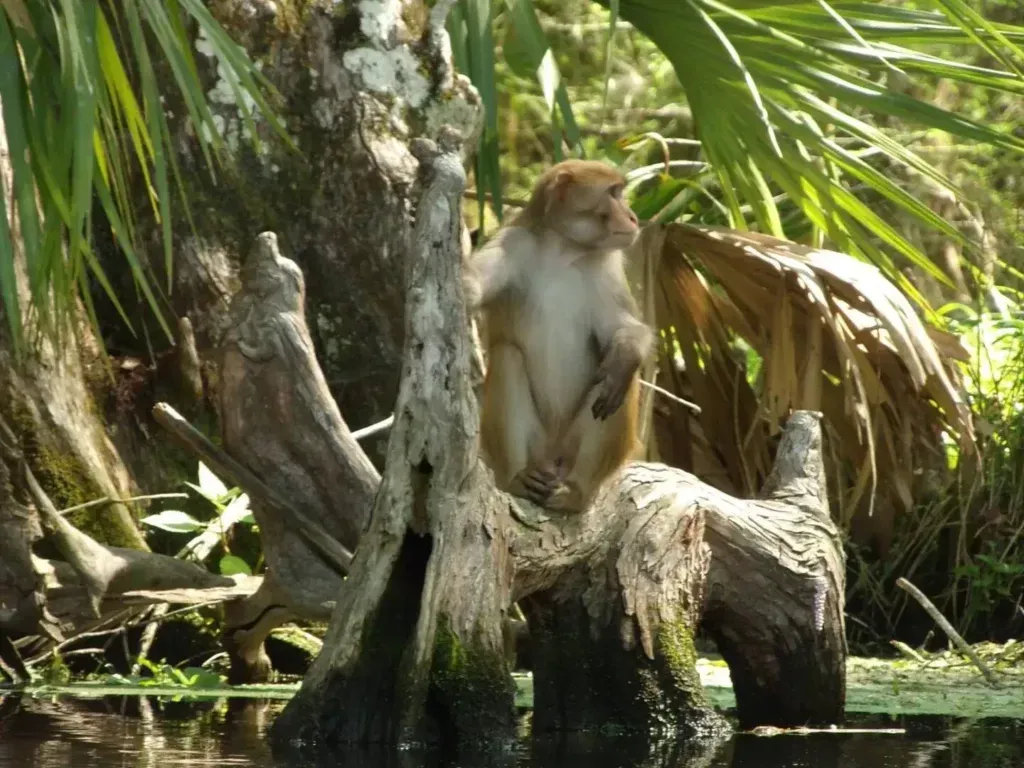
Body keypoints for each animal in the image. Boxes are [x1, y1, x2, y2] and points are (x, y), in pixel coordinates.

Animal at [463, 159, 654, 512]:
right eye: (613, 193)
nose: (634, 217)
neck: (565, 250)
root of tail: (551, 458)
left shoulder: (608, 267)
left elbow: (627, 330)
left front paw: (625, 356)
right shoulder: (513, 243)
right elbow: (472, 289)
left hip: (572, 448)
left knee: (621, 381)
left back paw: (575, 492)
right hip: (535, 446)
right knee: (507, 355)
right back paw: (518, 479)